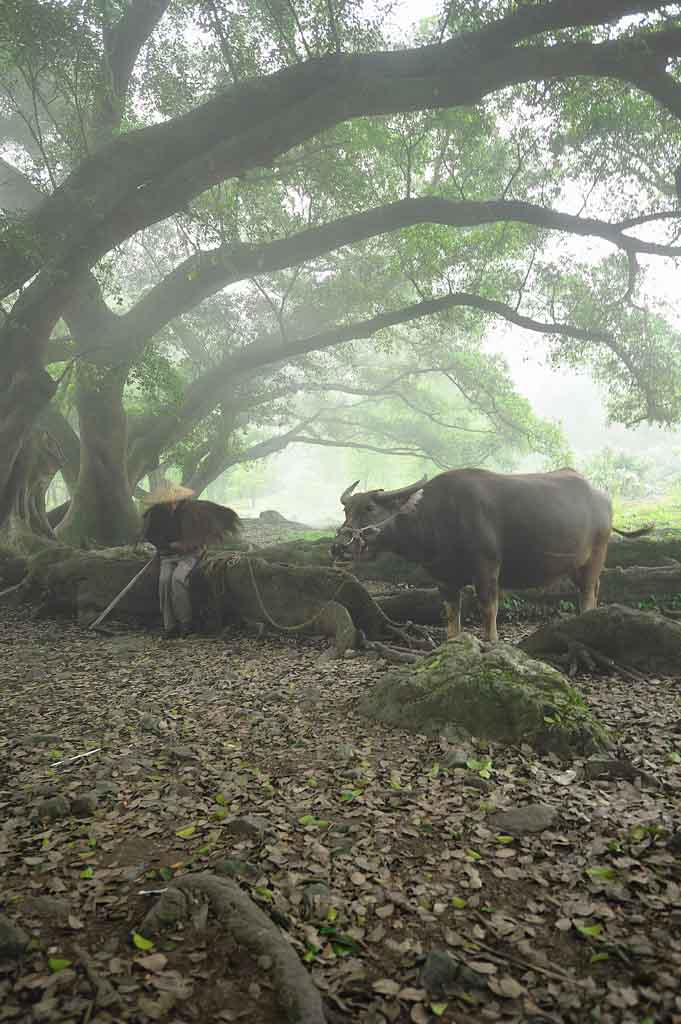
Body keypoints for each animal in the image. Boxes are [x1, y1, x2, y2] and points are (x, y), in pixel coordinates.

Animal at [331, 468, 651, 638]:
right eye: (346, 509)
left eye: (370, 508)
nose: (338, 546)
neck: (437, 517)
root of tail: (602, 498)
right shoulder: (445, 579)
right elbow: (451, 615)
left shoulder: (487, 568)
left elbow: (489, 608)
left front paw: (491, 643)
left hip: (596, 556)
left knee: (588, 593)